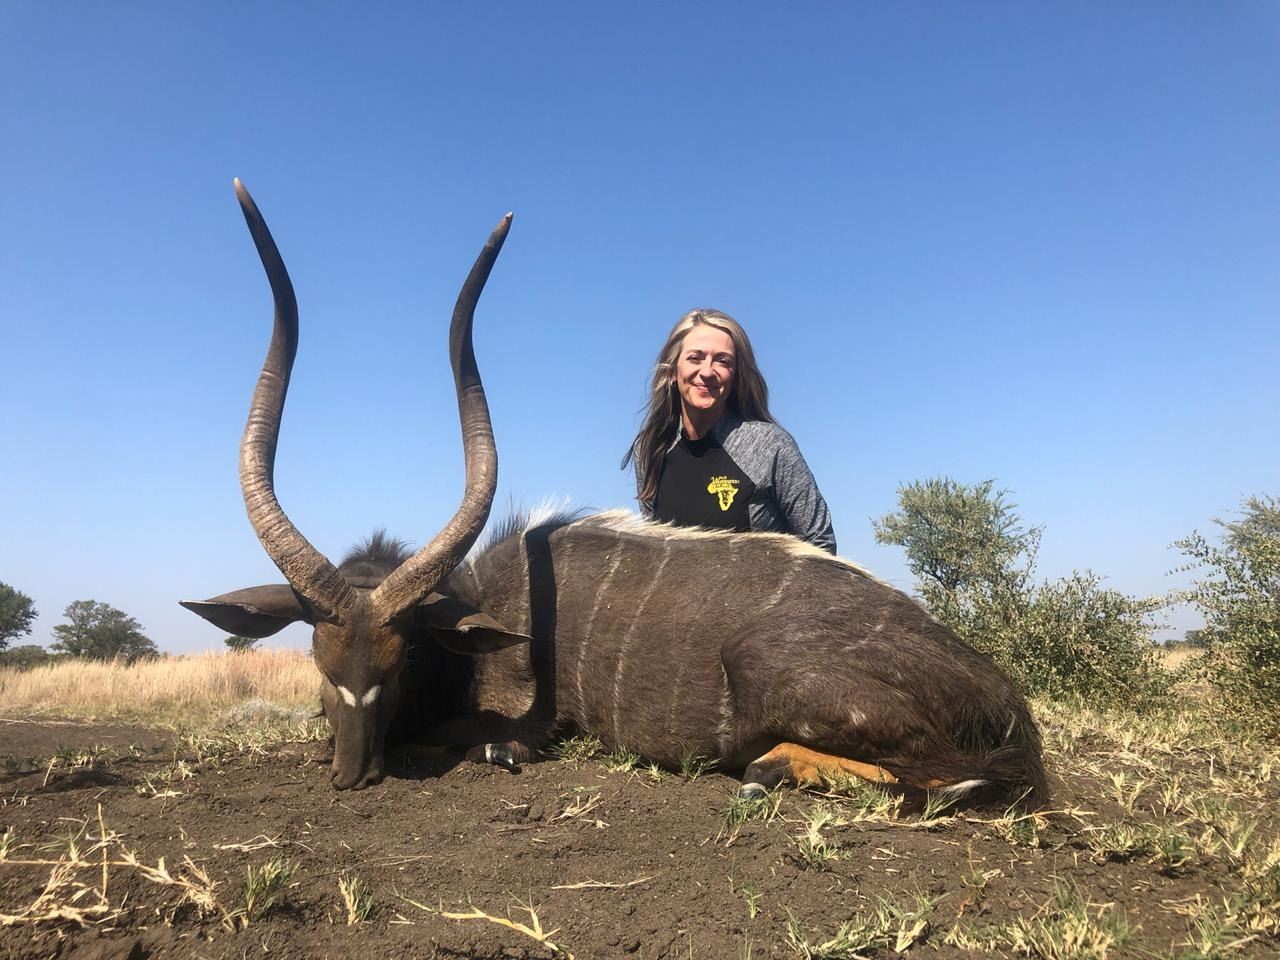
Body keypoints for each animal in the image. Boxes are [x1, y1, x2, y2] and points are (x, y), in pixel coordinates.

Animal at [183, 182, 1048, 808]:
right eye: (318, 656)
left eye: (401, 658)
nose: (352, 771)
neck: (476, 609)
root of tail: (1012, 710)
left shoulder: (521, 720)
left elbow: (488, 743)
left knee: (934, 781)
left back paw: (774, 768)